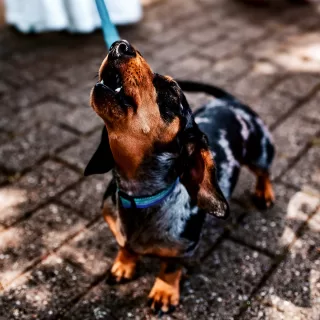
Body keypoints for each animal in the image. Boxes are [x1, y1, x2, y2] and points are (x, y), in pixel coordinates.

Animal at [84, 39, 276, 316]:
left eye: (171, 91)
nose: (120, 45)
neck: (140, 196)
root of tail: (230, 101)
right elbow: (125, 246)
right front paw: (124, 264)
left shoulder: (184, 247)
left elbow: (170, 267)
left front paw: (164, 292)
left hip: (259, 151)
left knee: (264, 171)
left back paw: (264, 192)